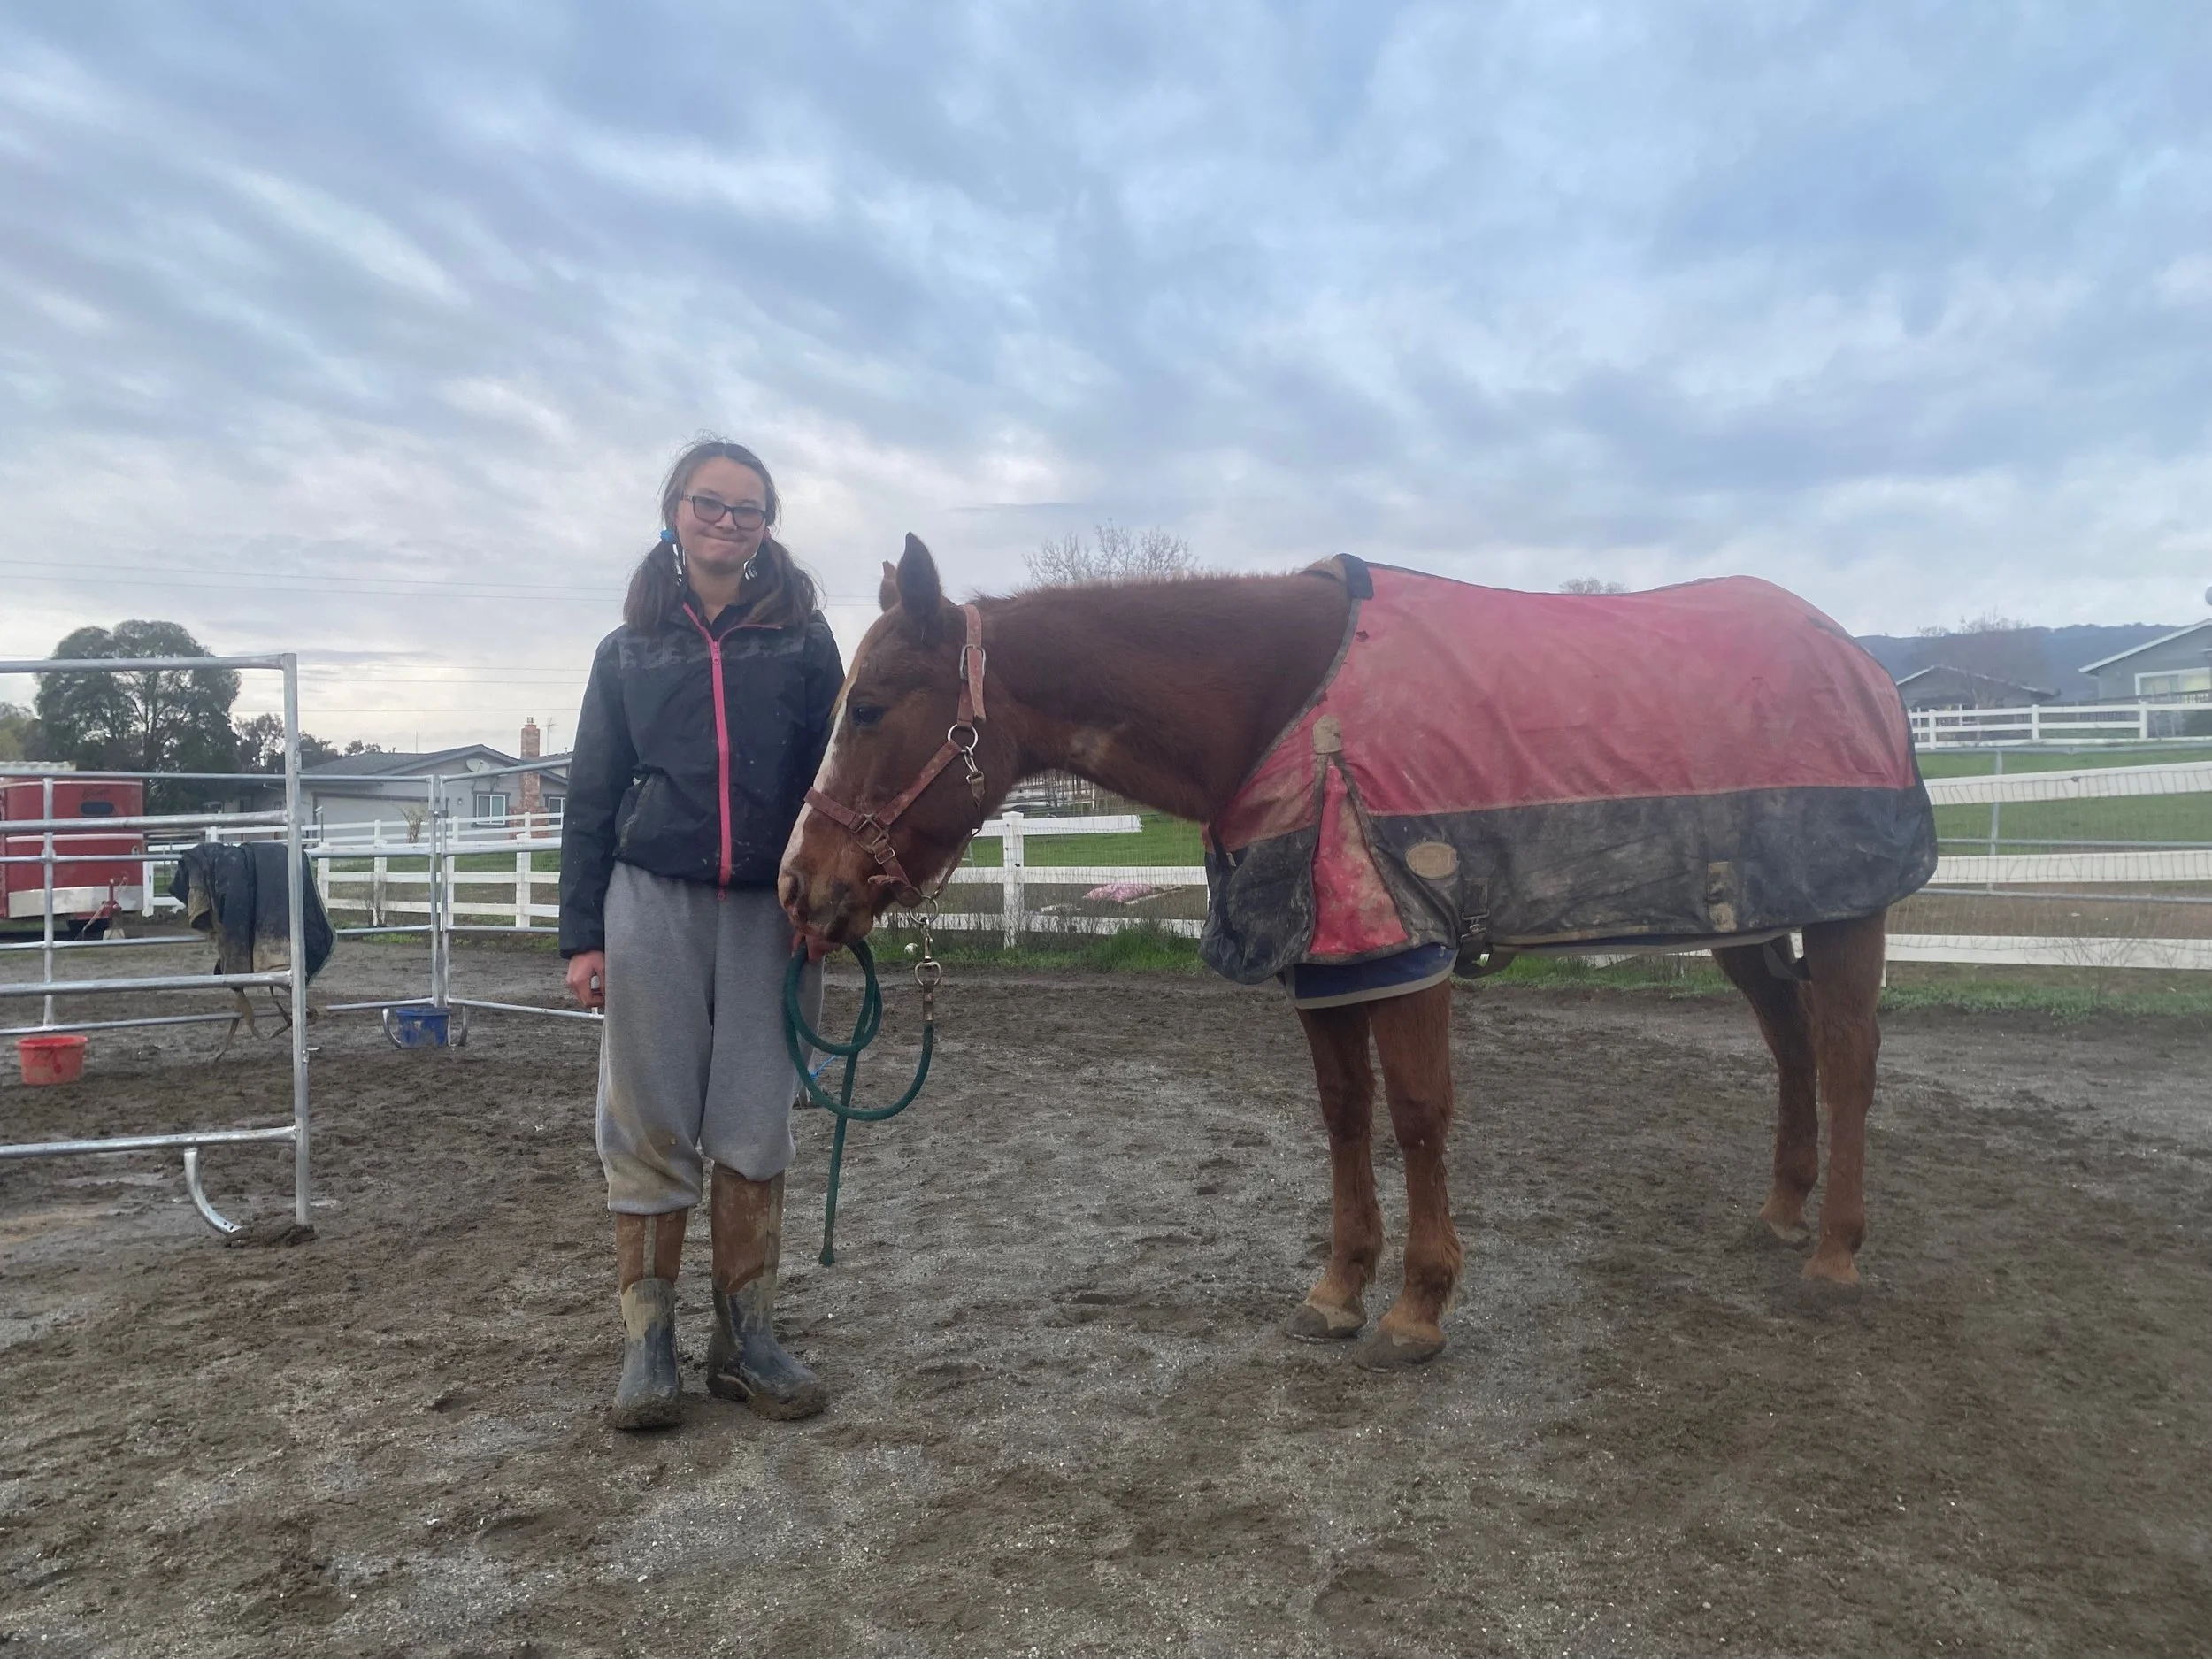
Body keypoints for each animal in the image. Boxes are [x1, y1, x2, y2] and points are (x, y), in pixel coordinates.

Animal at [780, 535, 1928, 1369]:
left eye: (868, 706)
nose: (799, 886)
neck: (1285, 702)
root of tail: (1854, 657)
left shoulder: (1404, 952)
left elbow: (1415, 1116)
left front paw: (1418, 1307)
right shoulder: (1325, 965)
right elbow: (1343, 1115)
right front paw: (1338, 1290)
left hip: (1848, 914)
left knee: (1846, 1059)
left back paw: (1834, 1255)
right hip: (1750, 921)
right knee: (1790, 1044)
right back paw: (1781, 1215)